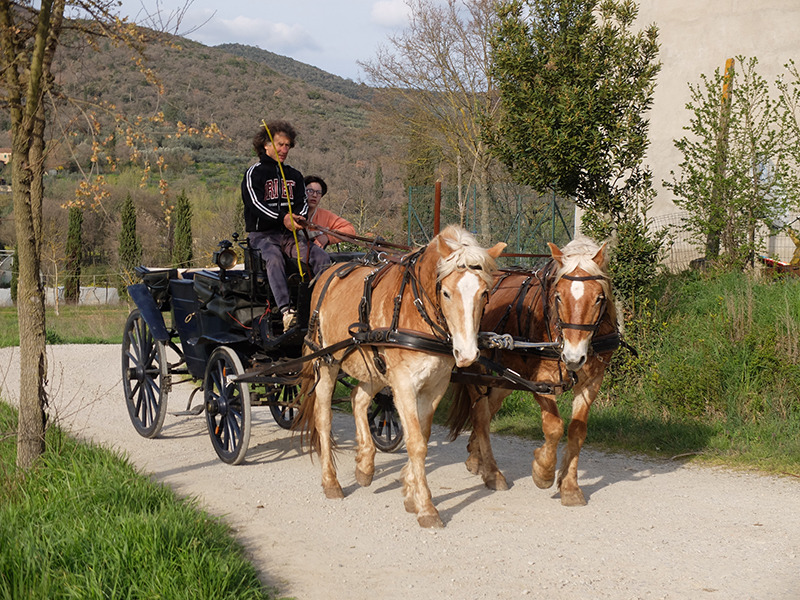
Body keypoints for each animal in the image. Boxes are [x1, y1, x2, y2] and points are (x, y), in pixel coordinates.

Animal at [294, 227, 506, 528]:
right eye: (446, 292)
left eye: (485, 293)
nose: (467, 355)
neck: (416, 311)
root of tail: (327, 273)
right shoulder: (404, 384)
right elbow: (416, 443)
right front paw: (426, 506)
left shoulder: (435, 386)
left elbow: (423, 435)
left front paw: (410, 490)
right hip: (326, 363)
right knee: (324, 419)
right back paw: (331, 482)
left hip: (374, 368)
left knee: (358, 399)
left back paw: (365, 464)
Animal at [450, 238, 620, 506]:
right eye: (558, 296)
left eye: (598, 298)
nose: (573, 357)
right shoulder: (542, 381)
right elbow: (554, 427)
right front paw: (543, 470)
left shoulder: (592, 382)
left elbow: (577, 431)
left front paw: (569, 487)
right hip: (476, 368)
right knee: (480, 415)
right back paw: (492, 473)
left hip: (506, 376)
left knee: (489, 410)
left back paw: (476, 458)